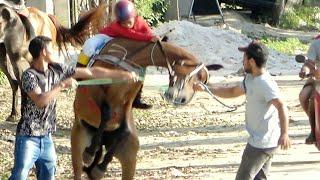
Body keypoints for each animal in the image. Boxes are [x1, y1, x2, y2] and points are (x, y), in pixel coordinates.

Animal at [71, 37, 224, 179]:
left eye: (203, 82)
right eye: (196, 78)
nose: (183, 100)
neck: (130, 58)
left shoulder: (127, 101)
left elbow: (124, 129)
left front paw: (100, 168)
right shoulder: (95, 90)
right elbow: (107, 113)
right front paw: (89, 153)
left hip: (129, 158)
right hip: (78, 143)